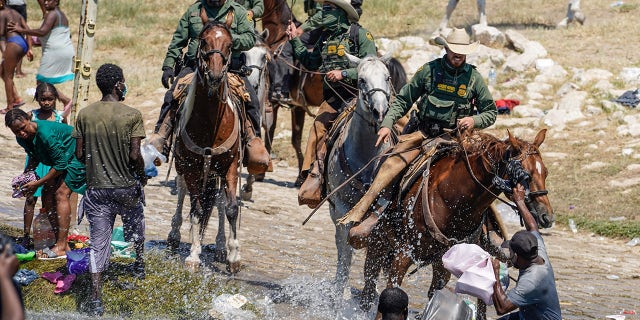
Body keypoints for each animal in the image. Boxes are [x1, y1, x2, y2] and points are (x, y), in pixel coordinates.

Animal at [168, 20, 242, 272]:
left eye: (230, 43)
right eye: (203, 41)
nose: (216, 75)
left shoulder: (230, 165)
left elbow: (230, 208)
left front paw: (234, 256)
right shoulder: (191, 168)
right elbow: (197, 210)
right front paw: (193, 255)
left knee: (218, 202)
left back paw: (220, 247)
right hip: (184, 167)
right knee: (182, 193)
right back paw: (174, 236)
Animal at [362, 129, 552, 316]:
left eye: (545, 172)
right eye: (526, 175)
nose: (547, 217)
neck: (453, 199)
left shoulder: (442, 263)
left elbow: (435, 293)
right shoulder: (403, 254)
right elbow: (391, 292)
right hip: (377, 241)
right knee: (369, 285)